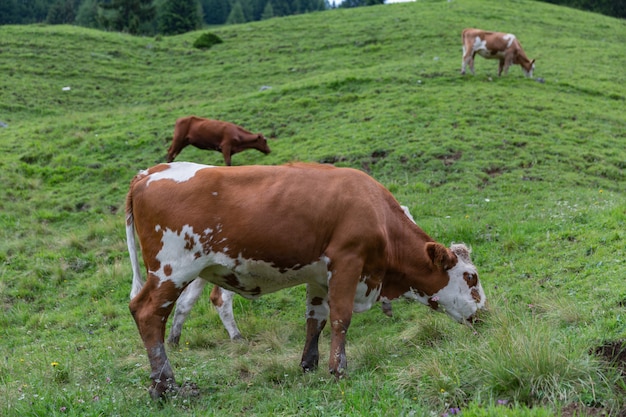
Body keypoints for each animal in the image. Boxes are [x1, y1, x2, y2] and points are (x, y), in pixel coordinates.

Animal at [127, 161, 486, 398]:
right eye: (471, 277)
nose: (486, 314)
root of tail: (150, 172)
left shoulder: (319, 277)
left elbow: (316, 320)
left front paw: (309, 365)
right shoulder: (348, 263)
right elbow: (341, 318)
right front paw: (338, 370)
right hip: (172, 271)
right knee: (147, 314)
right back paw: (166, 385)